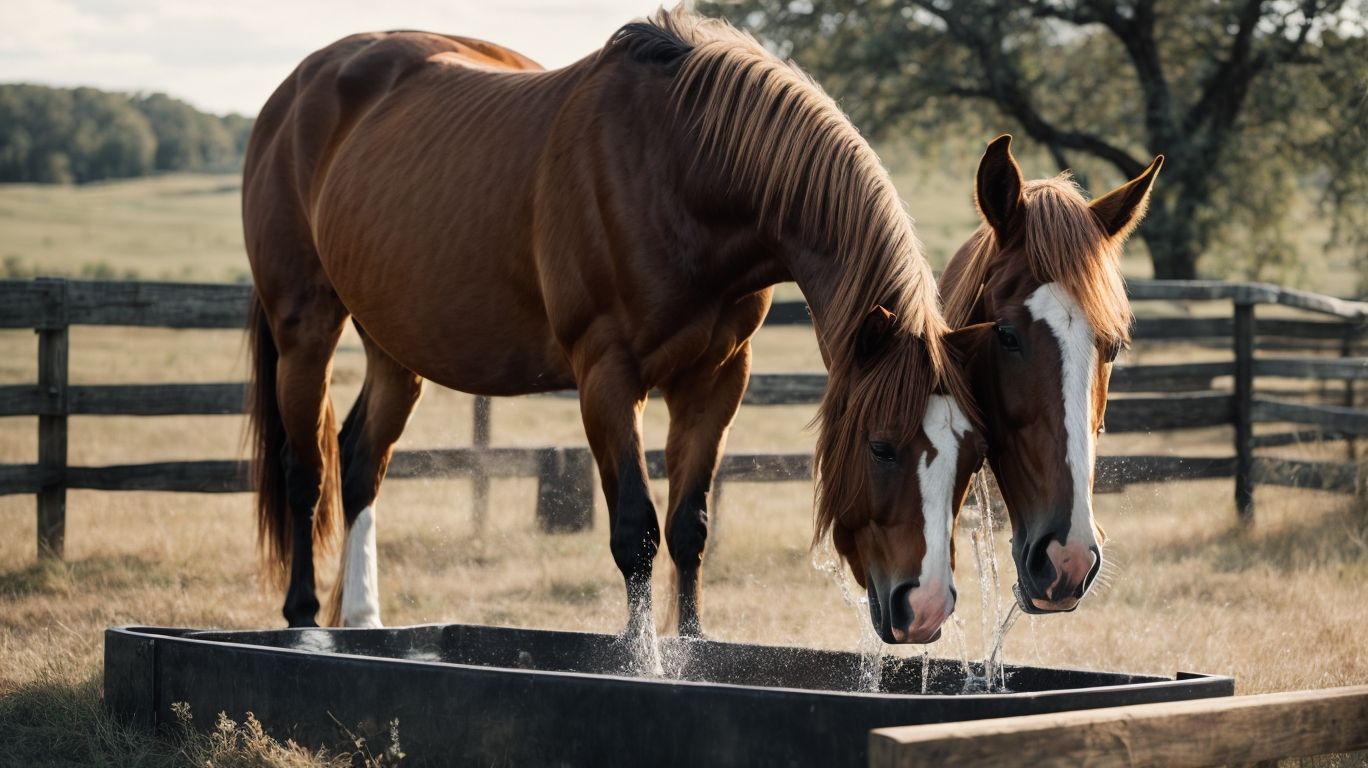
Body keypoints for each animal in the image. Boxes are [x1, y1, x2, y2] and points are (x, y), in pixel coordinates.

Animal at [242, 9, 983, 645]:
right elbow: (636, 532)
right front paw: (642, 659)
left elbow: (690, 527)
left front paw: (693, 649)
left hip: (395, 347)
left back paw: (362, 618)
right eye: (881, 447)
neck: (683, 166)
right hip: (305, 329)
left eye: (973, 455)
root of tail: (295, 90)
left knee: (360, 462)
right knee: (307, 470)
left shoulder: (717, 379)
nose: (924, 608)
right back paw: (304, 618)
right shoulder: (606, 374)